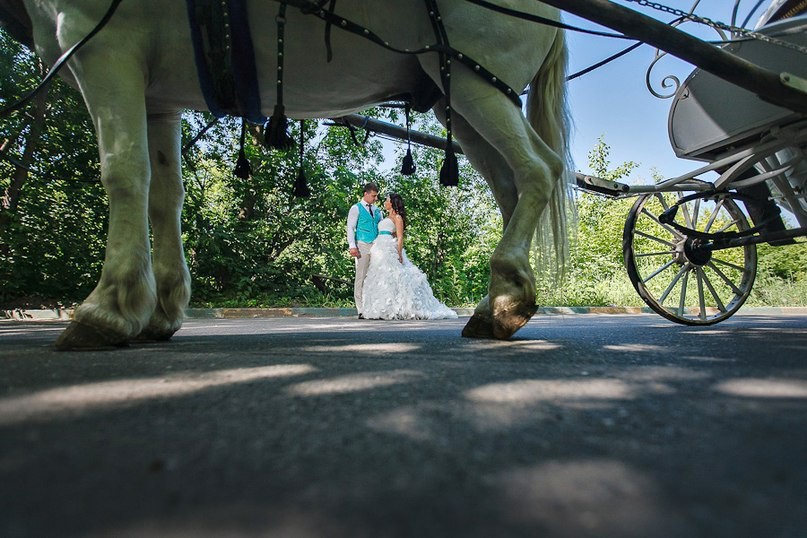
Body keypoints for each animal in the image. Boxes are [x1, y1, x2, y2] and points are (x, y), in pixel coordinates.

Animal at [0, 1, 572, 348]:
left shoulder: (106, 47)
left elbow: (123, 172)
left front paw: (107, 308)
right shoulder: (158, 97)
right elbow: (165, 196)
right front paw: (159, 311)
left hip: (475, 77)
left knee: (540, 168)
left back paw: (505, 296)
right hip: (459, 89)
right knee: (510, 183)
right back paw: (503, 300)